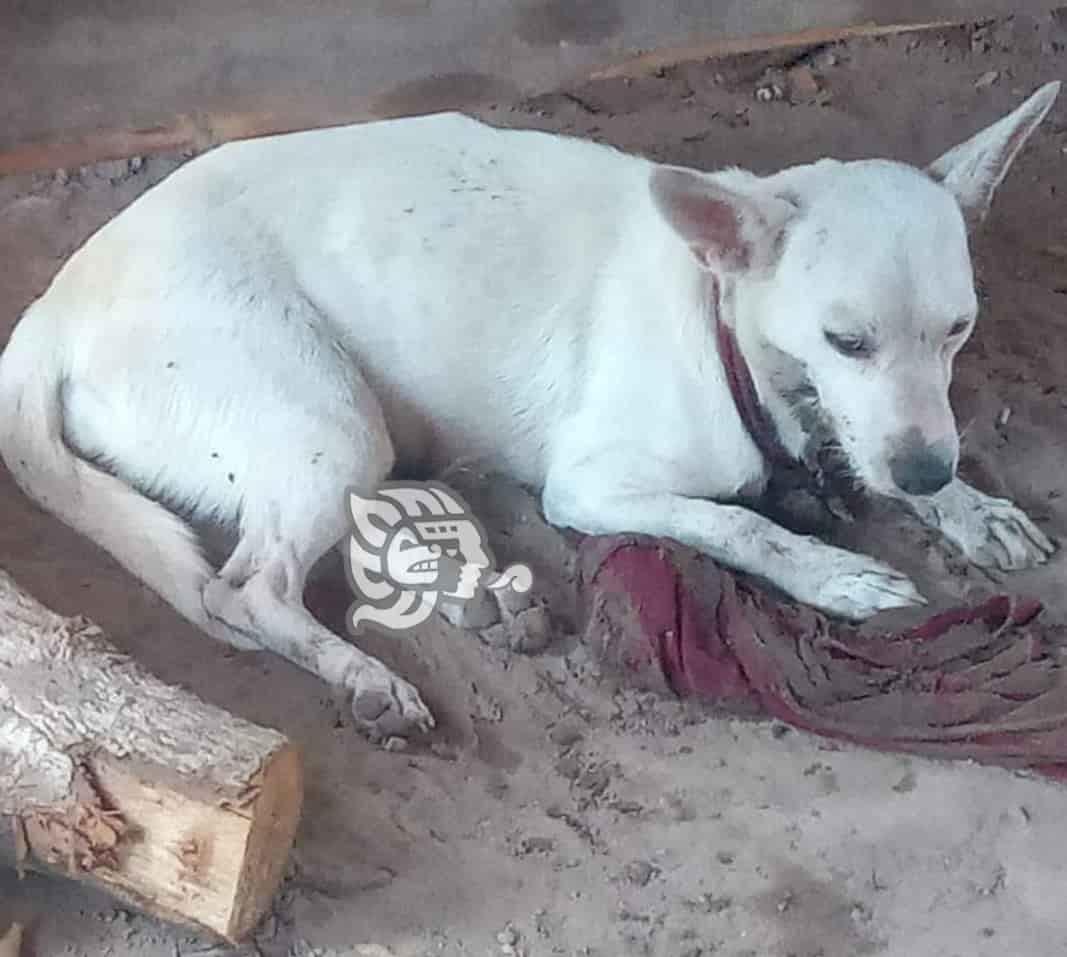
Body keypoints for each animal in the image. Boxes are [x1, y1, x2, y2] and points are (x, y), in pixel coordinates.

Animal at [2, 82, 1058, 738]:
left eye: (958, 330)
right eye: (846, 340)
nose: (924, 470)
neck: (729, 330)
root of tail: (47, 314)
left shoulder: (886, 428)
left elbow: (887, 452)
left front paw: (966, 505)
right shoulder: (591, 488)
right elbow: (739, 526)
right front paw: (839, 573)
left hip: (347, 431)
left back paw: (477, 597)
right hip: (329, 419)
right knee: (249, 589)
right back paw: (368, 675)